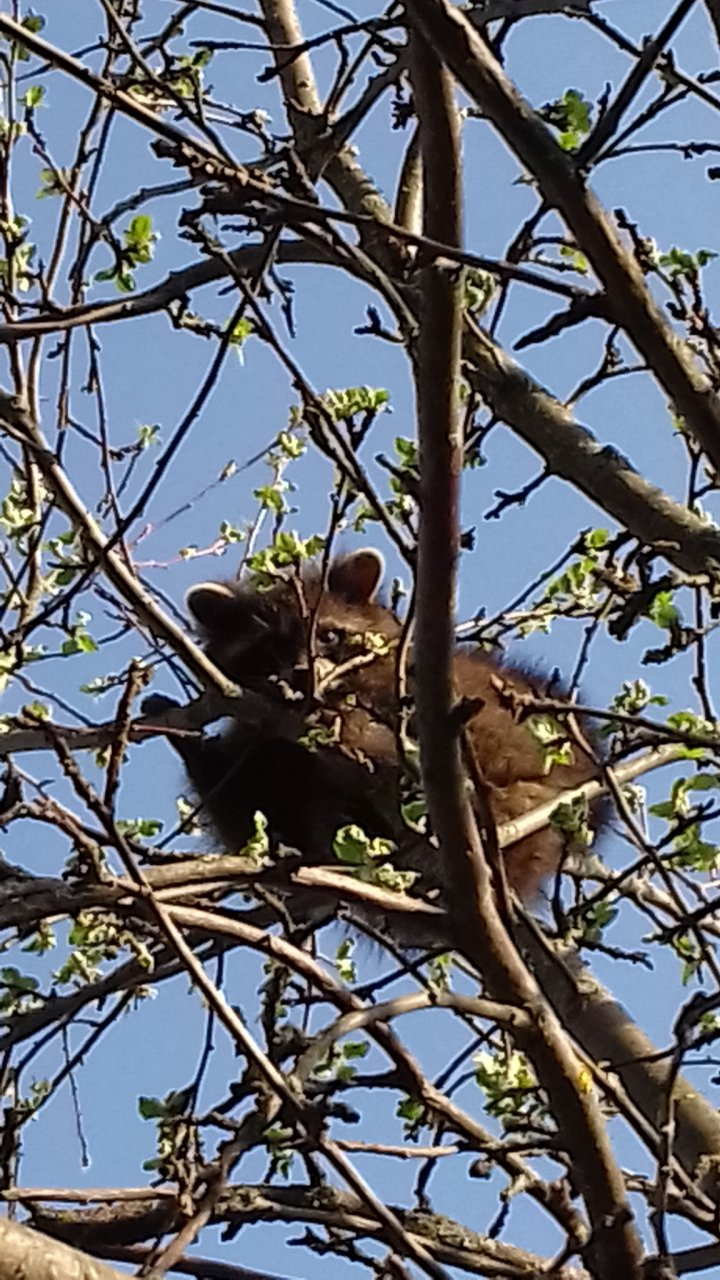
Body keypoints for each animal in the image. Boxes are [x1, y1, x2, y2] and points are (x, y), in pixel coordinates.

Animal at [142, 555, 597, 906]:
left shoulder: (399, 680)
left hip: (506, 747)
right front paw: (193, 748)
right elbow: (251, 814)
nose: (303, 674)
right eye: (268, 648)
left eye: (328, 635)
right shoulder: (259, 741)